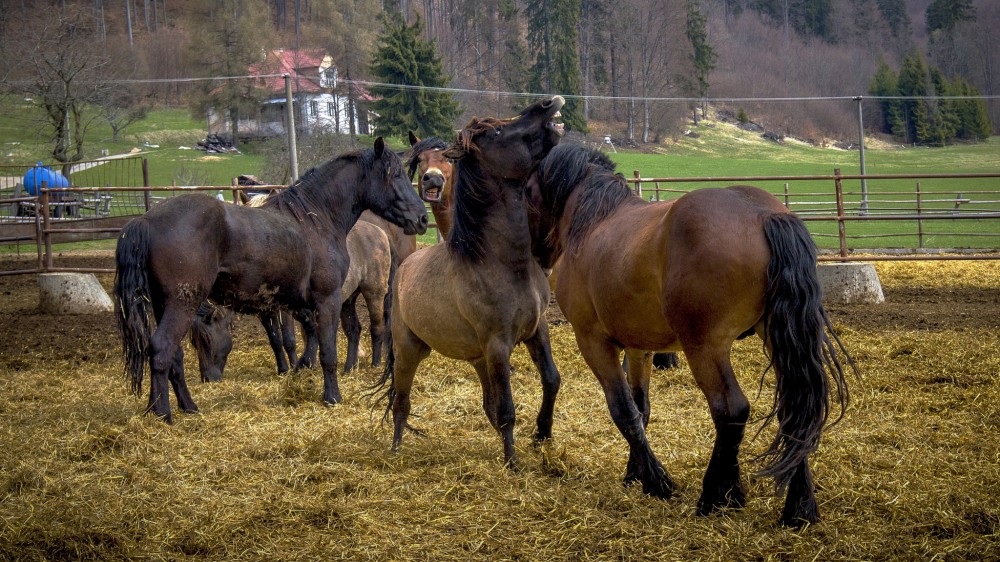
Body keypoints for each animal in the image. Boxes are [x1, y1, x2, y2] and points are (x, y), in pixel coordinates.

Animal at [115, 138, 428, 420]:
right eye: (395, 175)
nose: (422, 219)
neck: (316, 218)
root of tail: (146, 220)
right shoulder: (327, 299)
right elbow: (326, 351)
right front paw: (332, 397)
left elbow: (299, 341)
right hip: (182, 303)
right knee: (162, 349)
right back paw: (162, 413)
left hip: (163, 304)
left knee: (174, 356)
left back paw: (187, 407)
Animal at [378, 95, 568, 464]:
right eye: (496, 132)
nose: (546, 103)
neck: (501, 262)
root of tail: (404, 268)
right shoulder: (498, 346)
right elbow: (507, 409)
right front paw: (513, 464)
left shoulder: (536, 330)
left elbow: (551, 380)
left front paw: (543, 436)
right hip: (410, 351)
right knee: (401, 404)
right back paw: (394, 451)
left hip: (477, 357)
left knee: (486, 403)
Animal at [524, 141, 852, 524]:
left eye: (527, 190)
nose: (536, 254)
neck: (594, 222)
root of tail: (763, 215)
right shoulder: (639, 348)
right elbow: (641, 409)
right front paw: (635, 474)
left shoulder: (593, 342)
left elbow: (622, 410)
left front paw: (657, 481)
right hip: (776, 337)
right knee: (794, 409)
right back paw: (798, 509)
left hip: (705, 348)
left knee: (731, 409)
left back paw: (716, 496)